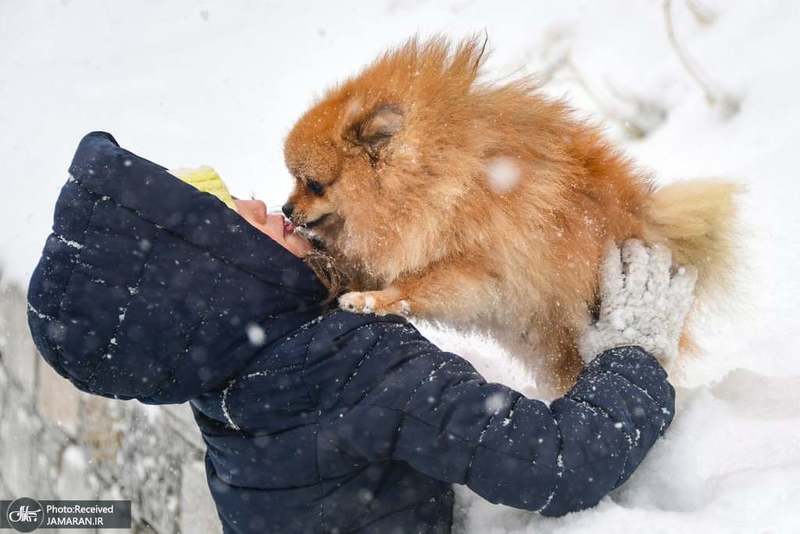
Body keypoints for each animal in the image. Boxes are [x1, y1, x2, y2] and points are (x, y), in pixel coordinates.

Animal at [282, 35, 736, 396]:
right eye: (294, 180)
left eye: (314, 184)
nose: (286, 208)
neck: (432, 175)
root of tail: (650, 225)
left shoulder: (475, 267)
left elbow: (413, 285)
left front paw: (370, 299)